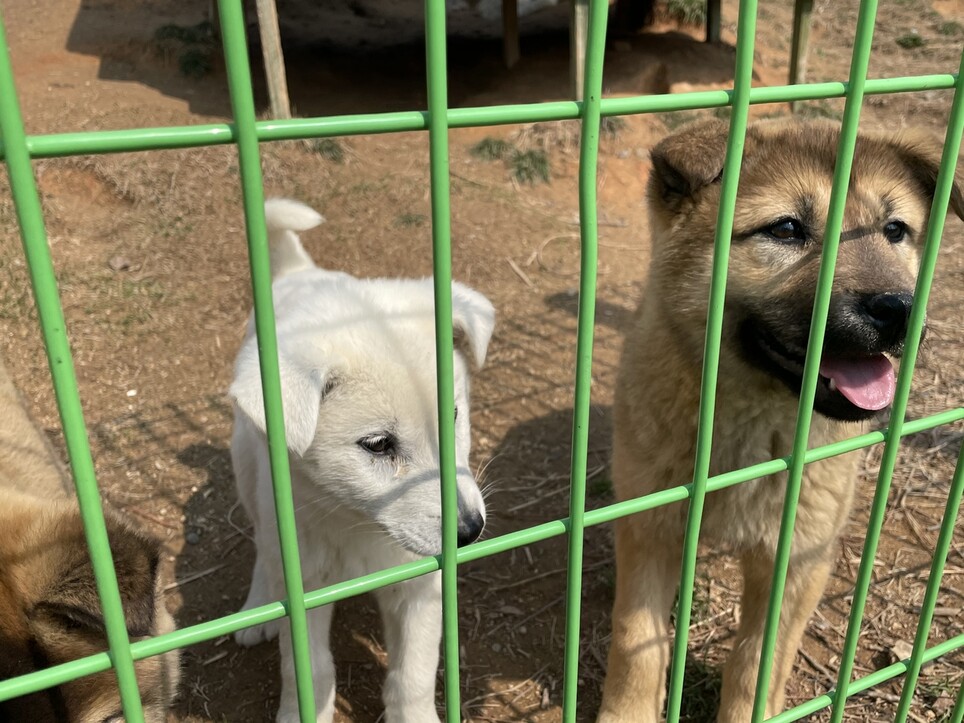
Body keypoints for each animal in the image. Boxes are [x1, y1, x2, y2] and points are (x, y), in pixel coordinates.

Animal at [229, 198, 494, 723]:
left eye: (455, 415)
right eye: (377, 445)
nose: (471, 530)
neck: (359, 524)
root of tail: (300, 272)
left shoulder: (421, 586)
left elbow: (412, 676)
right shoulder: (306, 589)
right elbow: (309, 673)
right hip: (248, 466)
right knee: (263, 543)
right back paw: (256, 605)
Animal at [600, 120, 960, 723]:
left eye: (895, 230)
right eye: (787, 229)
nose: (902, 311)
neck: (751, 429)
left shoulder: (798, 560)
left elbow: (757, 659)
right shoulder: (651, 531)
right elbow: (637, 641)